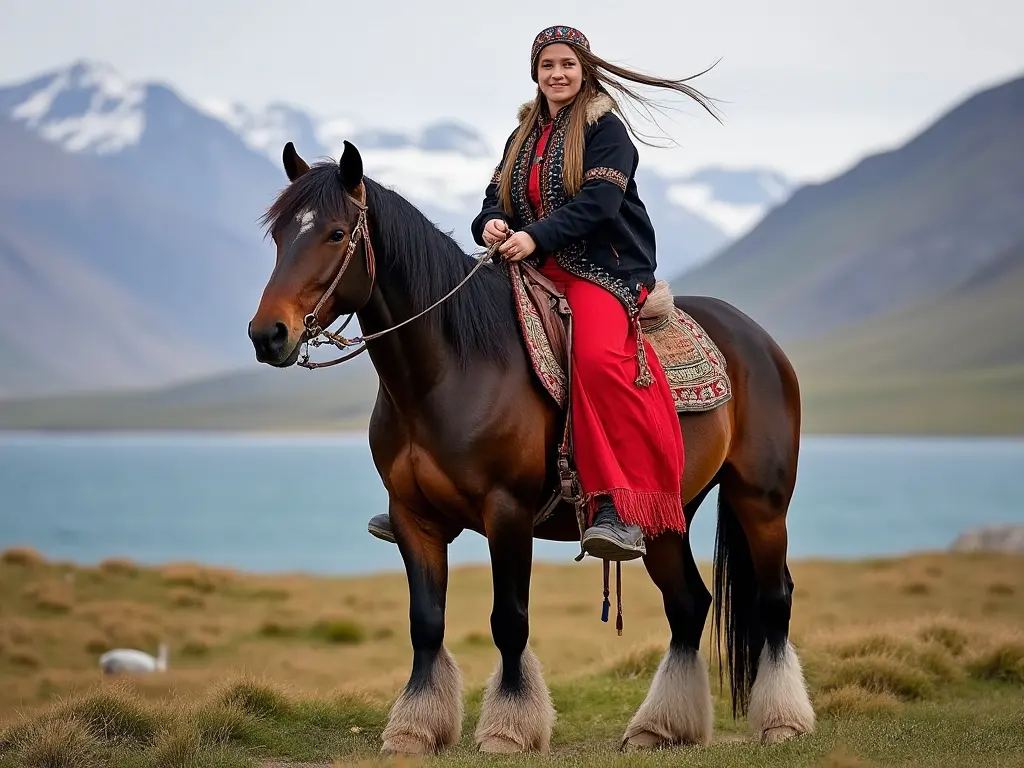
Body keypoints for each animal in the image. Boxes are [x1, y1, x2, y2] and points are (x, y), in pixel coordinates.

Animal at [247, 141, 815, 753]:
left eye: (334, 234)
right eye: (279, 235)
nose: (268, 335)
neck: (449, 371)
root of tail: (758, 340)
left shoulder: (508, 512)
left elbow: (509, 620)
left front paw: (508, 728)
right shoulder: (413, 516)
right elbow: (426, 623)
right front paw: (414, 729)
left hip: (761, 501)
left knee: (774, 598)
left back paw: (782, 721)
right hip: (667, 514)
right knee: (689, 605)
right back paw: (658, 728)